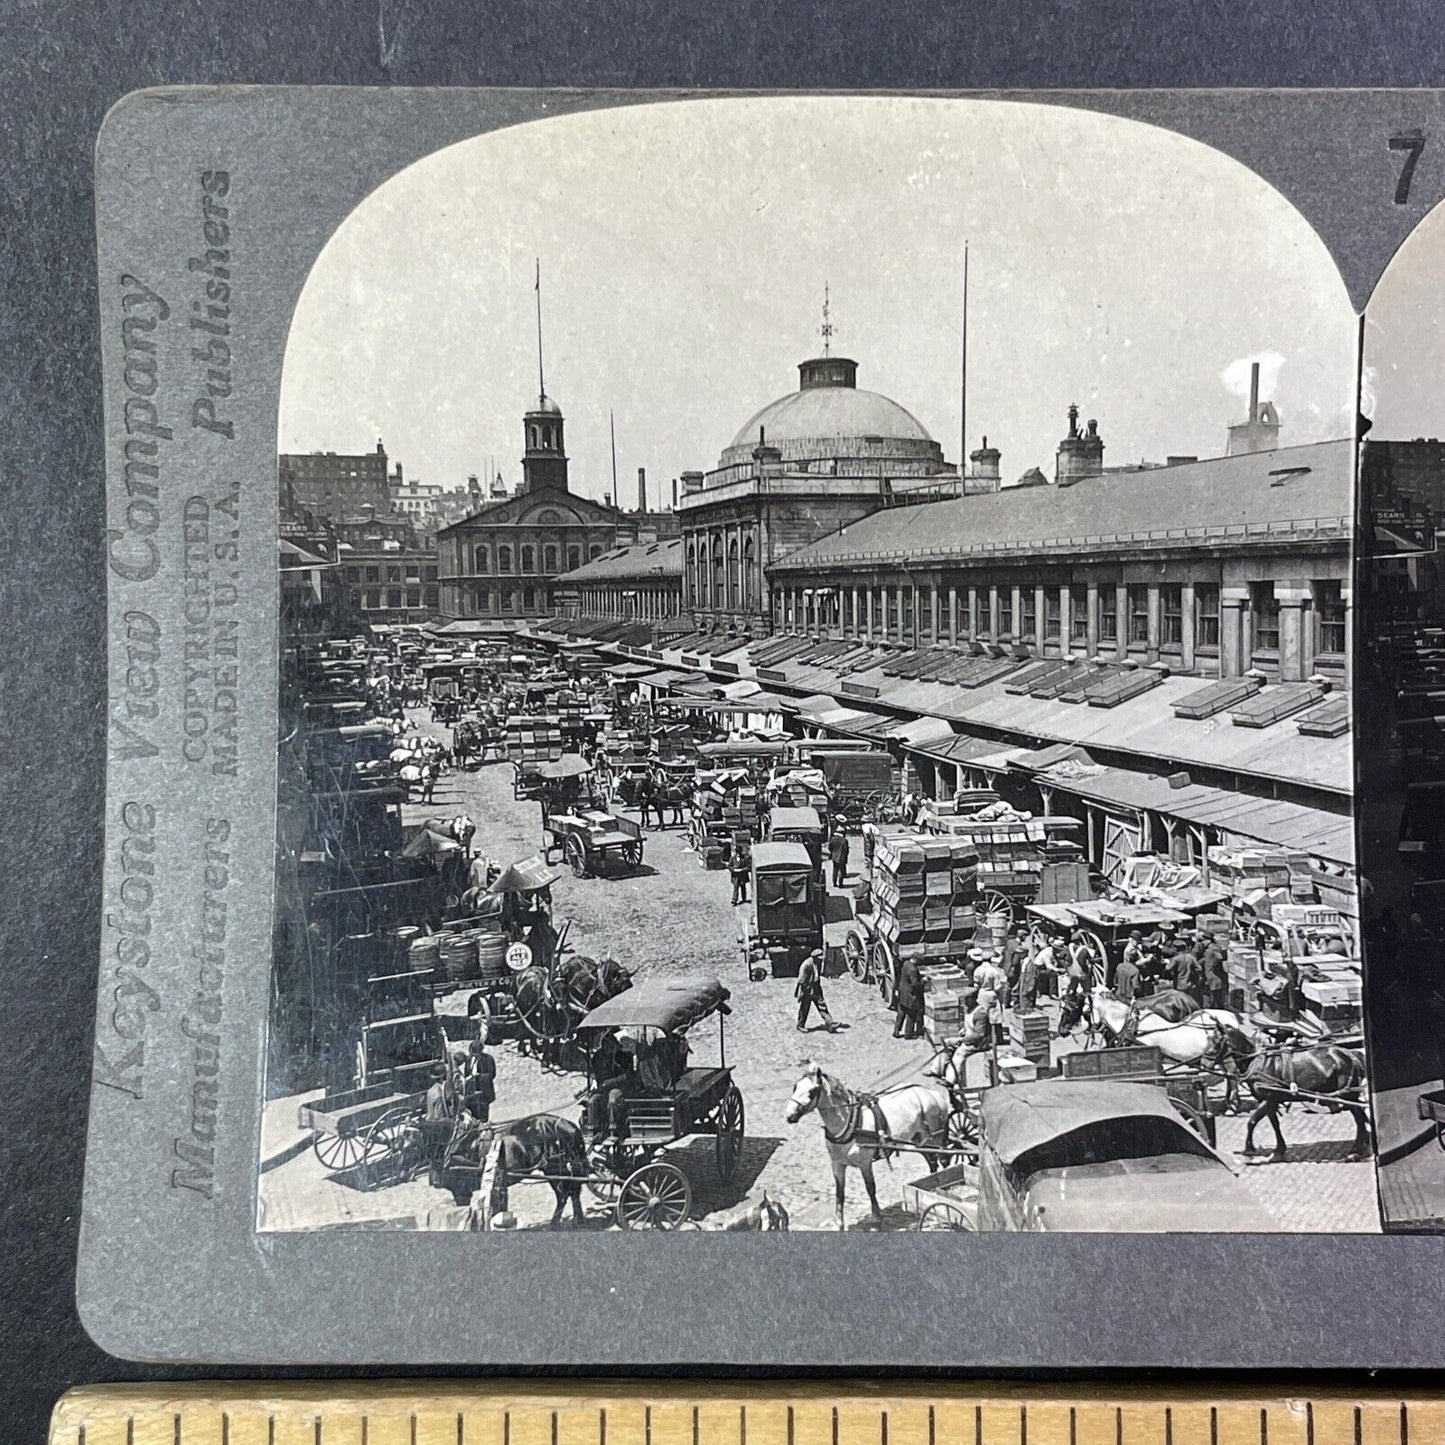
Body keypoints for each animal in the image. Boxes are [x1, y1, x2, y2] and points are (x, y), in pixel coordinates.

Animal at [786, 1063, 953, 1231]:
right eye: (795, 1087)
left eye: (812, 1091)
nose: (789, 1116)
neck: (851, 1122)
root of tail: (931, 1093)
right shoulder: (837, 1164)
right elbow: (840, 1193)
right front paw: (839, 1223)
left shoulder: (864, 1163)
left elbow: (870, 1188)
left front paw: (876, 1219)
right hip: (919, 1140)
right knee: (932, 1162)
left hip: (935, 1139)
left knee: (942, 1160)